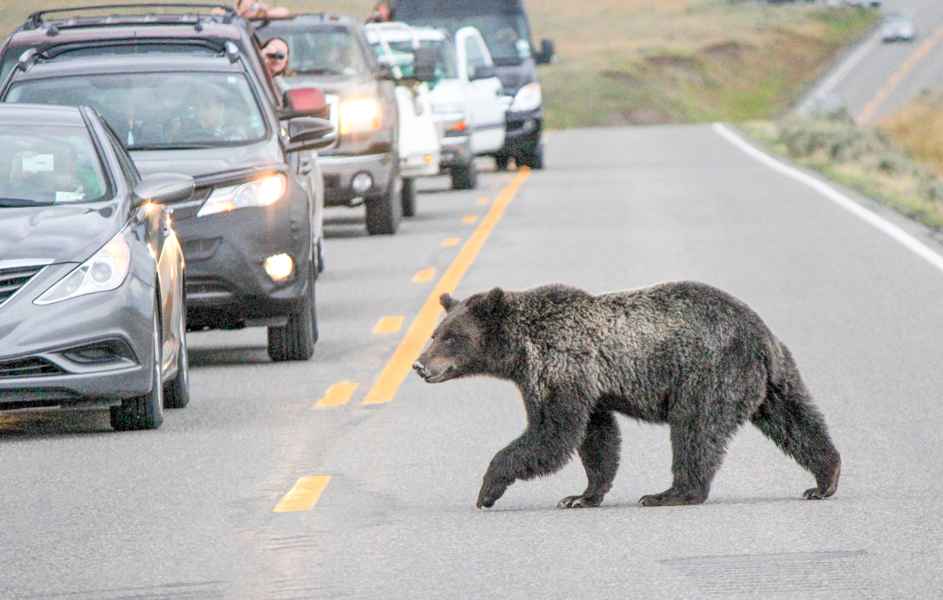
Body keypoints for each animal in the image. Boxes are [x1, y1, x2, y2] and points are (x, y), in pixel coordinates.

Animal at [412, 284, 840, 508]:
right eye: (435, 333)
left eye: (451, 337)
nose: (419, 365)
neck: (519, 351)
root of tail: (760, 334)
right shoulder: (590, 389)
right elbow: (596, 438)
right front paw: (582, 495)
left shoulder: (560, 368)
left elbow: (551, 434)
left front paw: (487, 489)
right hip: (773, 381)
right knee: (796, 422)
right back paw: (824, 479)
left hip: (708, 374)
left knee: (695, 431)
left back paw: (671, 493)